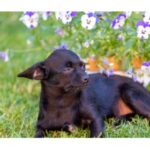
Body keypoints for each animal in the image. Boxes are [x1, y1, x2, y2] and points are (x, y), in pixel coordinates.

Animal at [17, 49, 150, 137]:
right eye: (67, 68)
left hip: (130, 92)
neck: (62, 101)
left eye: (83, 66)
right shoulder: (41, 127)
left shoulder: (96, 120)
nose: (87, 78)